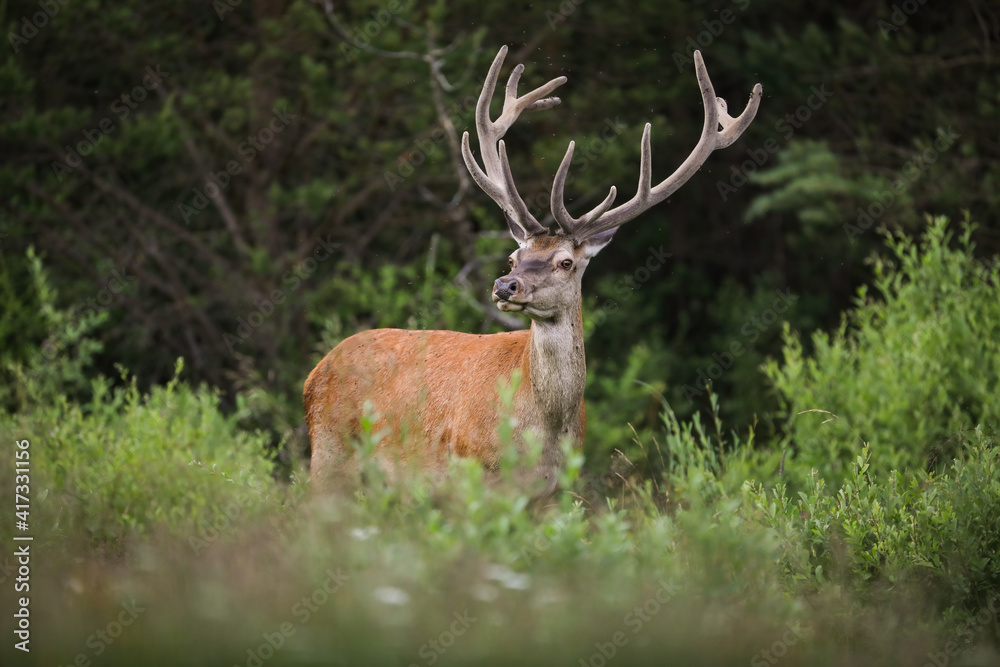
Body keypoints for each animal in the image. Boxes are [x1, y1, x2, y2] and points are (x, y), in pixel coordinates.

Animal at [304, 46, 761, 495]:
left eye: (566, 262)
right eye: (512, 257)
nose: (505, 286)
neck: (542, 434)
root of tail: (314, 374)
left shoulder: (556, 491)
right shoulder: (467, 474)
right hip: (329, 454)